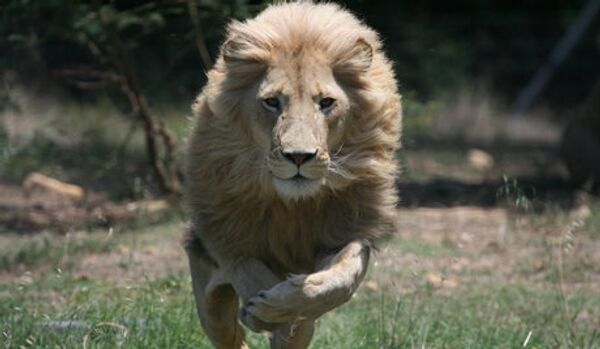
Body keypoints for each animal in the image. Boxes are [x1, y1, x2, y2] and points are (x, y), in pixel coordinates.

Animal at [185, 1, 400, 346]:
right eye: (272, 102)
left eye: (326, 102)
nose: (299, 156)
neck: (292, 204)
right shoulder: (227, 237)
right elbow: (247, 269)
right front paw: (261, 308)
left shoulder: (348, 230)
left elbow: (341, 279)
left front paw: (280, 304)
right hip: (210, 304)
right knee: (228, 333)